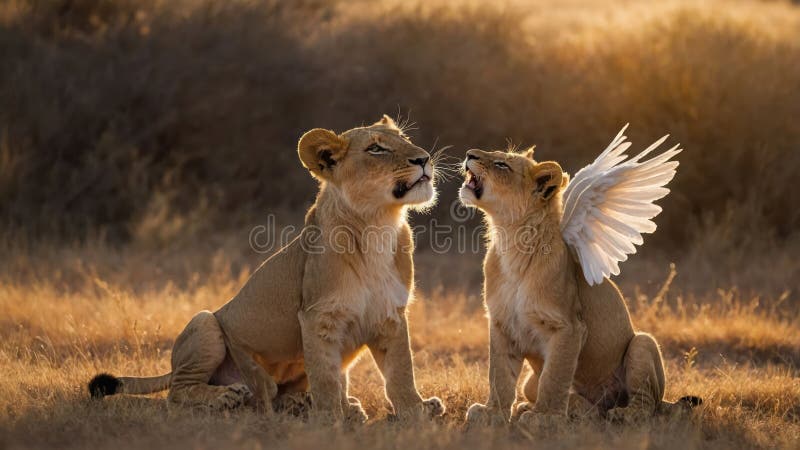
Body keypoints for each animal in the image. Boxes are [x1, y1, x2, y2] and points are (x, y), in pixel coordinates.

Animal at [89, 115, 445, 423]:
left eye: (405, 139)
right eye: (376, 149)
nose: (424, 158)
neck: (379, 224)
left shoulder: (390, 314)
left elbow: (401, 373)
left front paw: (416, 411)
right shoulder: (317, 317)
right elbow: (326, 377)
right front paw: (330, 418)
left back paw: (315, 403)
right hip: (205, 322)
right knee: (177, 393)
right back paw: (229, 396)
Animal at [459, 147, 700, 428]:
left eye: (501, 164)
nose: (469, 153)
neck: (510, 241)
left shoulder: (569, 326)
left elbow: (554, 377)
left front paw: (545, 417)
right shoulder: (501, 323)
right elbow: (499, 375)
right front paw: (493, 412)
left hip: (644, 343)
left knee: (646, 404)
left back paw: (621, 413)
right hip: (531, 383)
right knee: (575, 402)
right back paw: (566, 408)